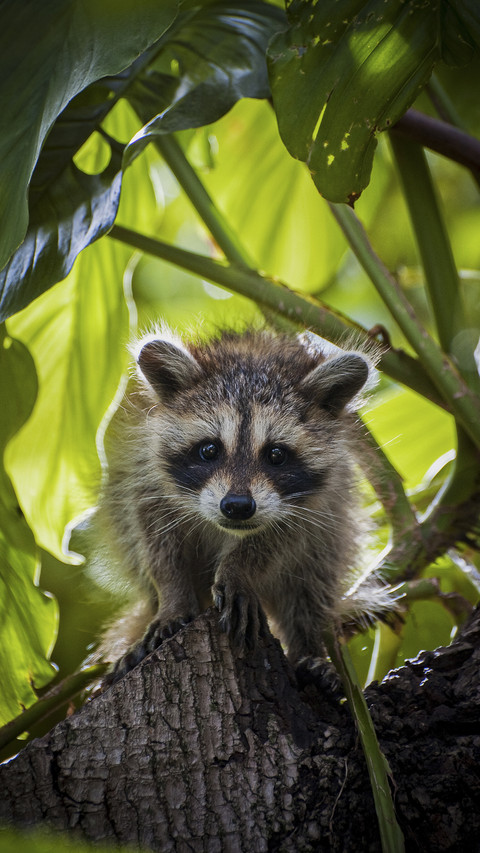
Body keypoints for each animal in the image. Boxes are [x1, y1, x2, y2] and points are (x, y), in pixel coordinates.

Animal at [96, 327, 389, 683]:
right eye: (209, 450)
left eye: (276, 454)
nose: (236, 506)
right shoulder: (143, 477)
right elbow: (156, 543)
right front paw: (173, 597)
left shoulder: (317, 503)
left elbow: (282, 537)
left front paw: (238, 568)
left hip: (332, 538)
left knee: (310, 589)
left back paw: (308, 647)